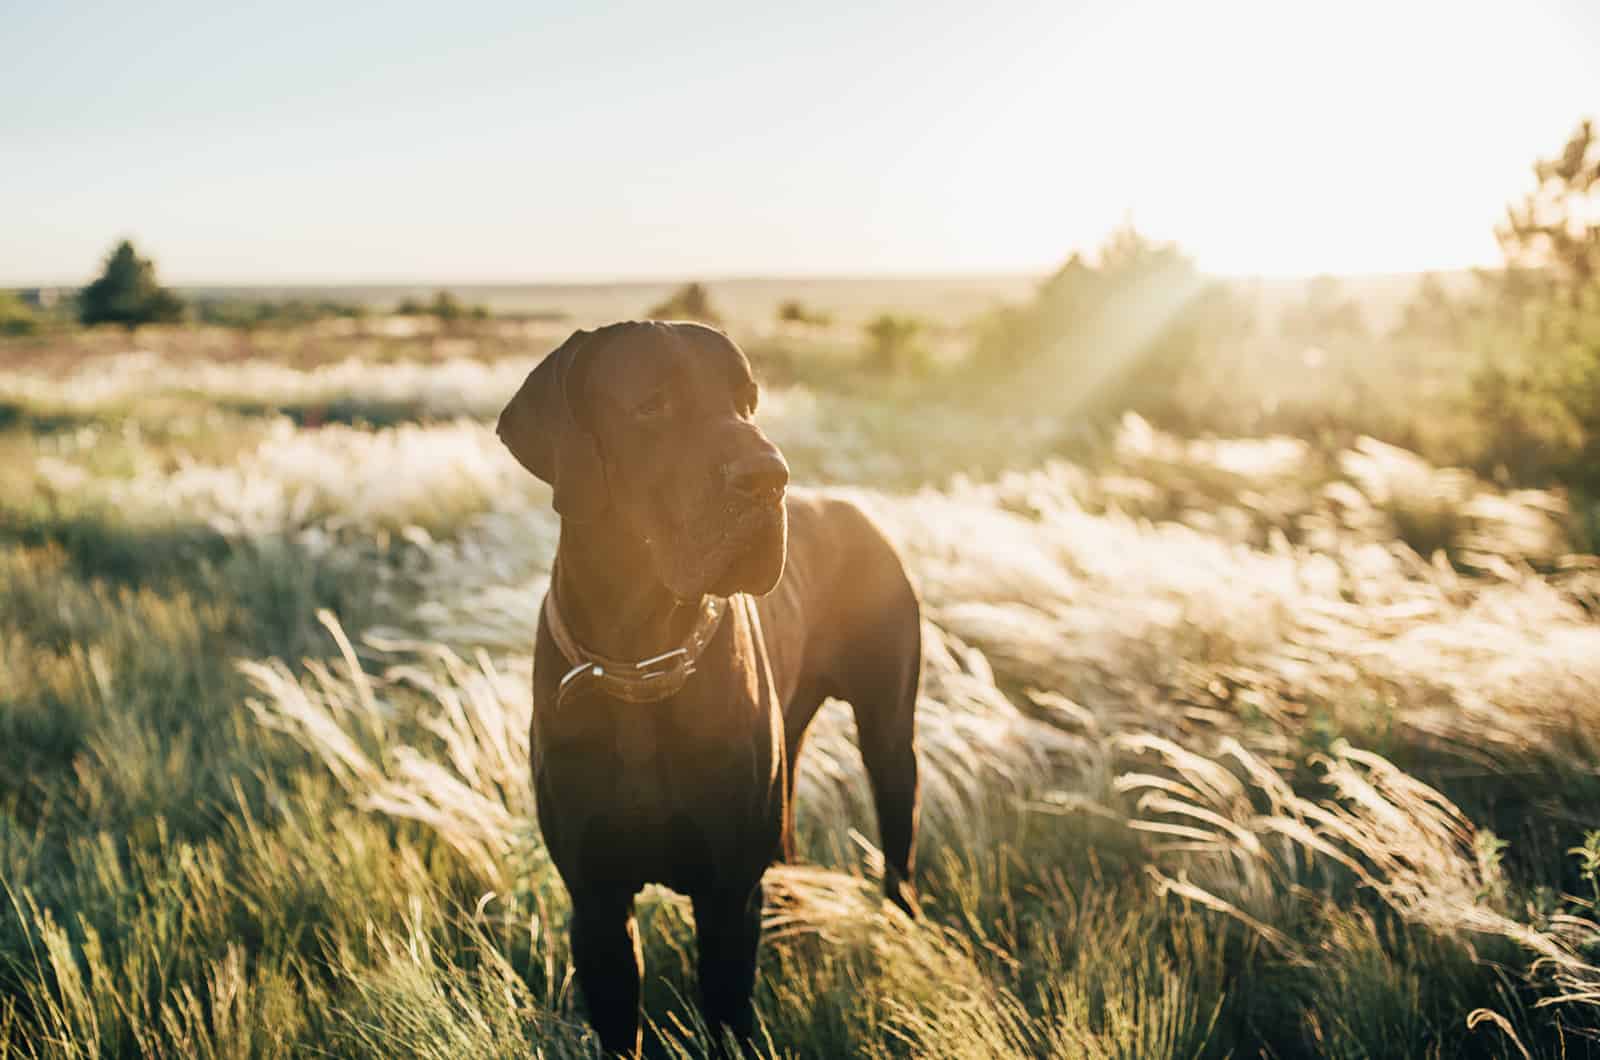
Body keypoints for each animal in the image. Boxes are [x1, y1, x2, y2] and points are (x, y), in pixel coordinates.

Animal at [499, 321, 928, 1056]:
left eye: (747, 401)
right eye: (651, 405)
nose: (769, 478)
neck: (641, 655)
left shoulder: (726, 898)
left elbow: (728, 1017)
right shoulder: (597, 905)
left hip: (888, 737)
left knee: (897, 853)